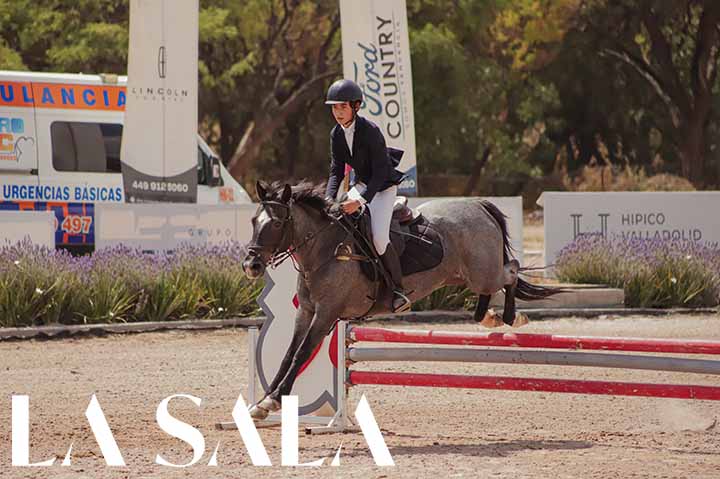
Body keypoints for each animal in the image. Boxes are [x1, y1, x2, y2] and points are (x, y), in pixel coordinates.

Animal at [243, 180, 560, 419]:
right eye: (253, 221)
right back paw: (489, 318)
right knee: (492, 288)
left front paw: (273, 400)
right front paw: (262, 402)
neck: (324, 249)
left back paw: (512, 317)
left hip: (485, 273)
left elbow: (301, 353)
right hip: (465, 276)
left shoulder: (326, 314)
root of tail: (477, 205)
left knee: (511, 271)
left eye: (275, 224)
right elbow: (289, 353)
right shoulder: (306, 312)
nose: (251, 265)